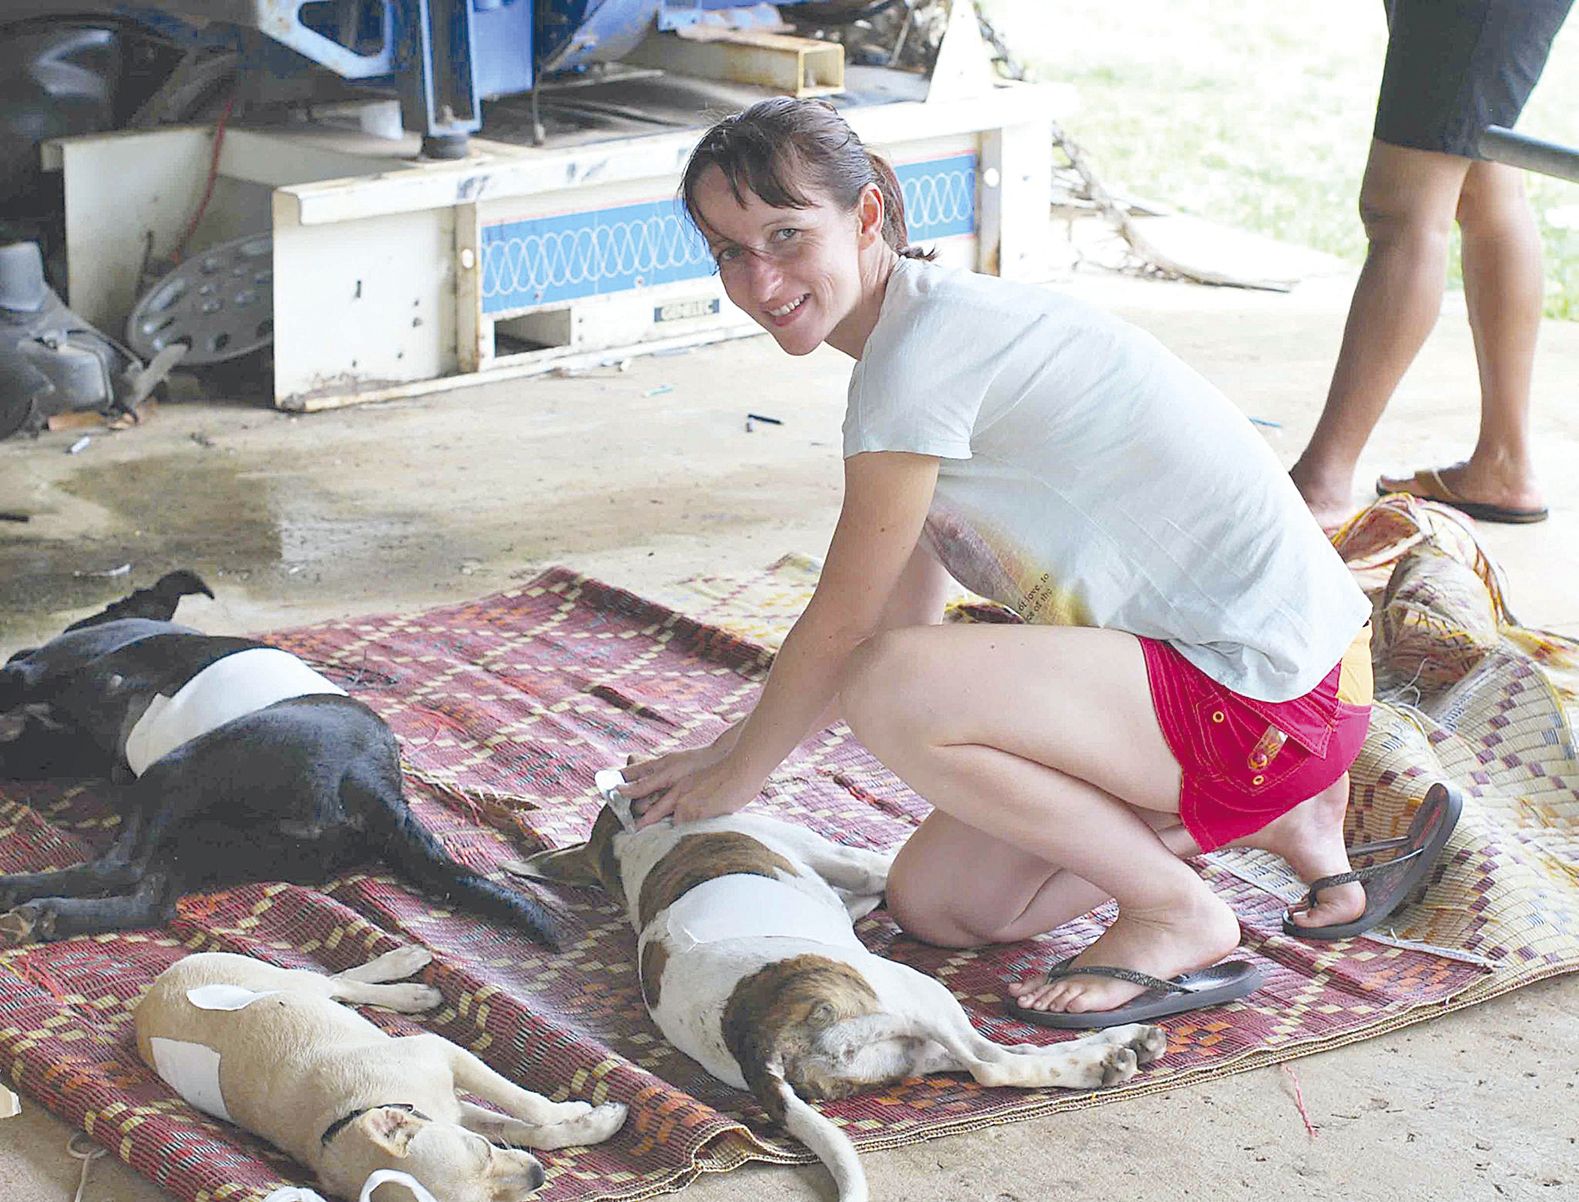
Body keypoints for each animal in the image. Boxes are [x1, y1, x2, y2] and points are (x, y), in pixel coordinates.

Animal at [0, 568, 565, 947]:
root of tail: (373, 786)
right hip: (216, 839)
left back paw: (18, 891)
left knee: (121, 865)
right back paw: (44, 914)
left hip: (177, 771)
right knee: (151, 901)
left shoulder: (33, 673)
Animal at [134, 947, 628, 1200]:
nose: (540, 1178)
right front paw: (590, 1118)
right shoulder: (452, 1105)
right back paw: (410, 989)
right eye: (488, 1200)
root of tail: (148, 999)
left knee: (338, 980)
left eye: (481, 1150)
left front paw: (583, 1115)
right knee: (341, 984)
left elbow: (531, 1111)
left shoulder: (446, 1059)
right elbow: (528, 1127)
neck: (346, 1120)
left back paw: (406, 976)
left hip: (288, 982)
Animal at [511, 773, 1168, 1200]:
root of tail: (754, 1041)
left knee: (1003, 1053)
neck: (632, 846)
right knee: (992, 1063)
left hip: (894, 1047)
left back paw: (1115, 1052)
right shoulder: (860, 864)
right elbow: (884, 864)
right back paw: (1114, 1053)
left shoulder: (852, 890)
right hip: (912, 990)